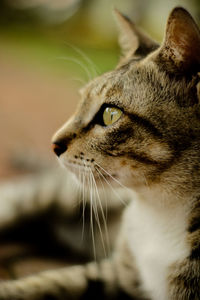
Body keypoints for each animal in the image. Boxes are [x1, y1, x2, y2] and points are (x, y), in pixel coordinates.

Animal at [0, 5, 200, 300]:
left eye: (110, 114)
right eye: (81, 100)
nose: (53, 143)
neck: (159, 210)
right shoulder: (117, 272)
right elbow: (48, 282)